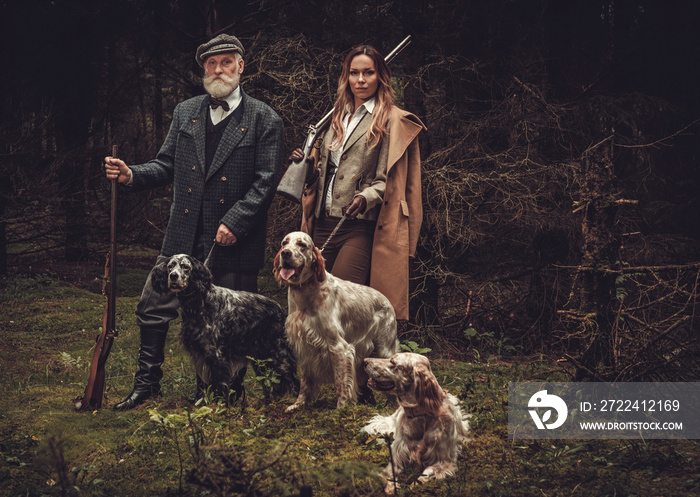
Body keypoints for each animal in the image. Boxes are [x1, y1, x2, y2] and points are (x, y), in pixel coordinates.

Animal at [152, 254, 296, 402]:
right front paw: (199, 402)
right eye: (170, 266)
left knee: (293, 381)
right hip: (261, 359)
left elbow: (219, 385)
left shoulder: (217, 355)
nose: (173, 276)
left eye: (186, 267)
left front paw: (219, 405)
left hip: (279, 355)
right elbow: (201, 384)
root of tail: (281, 310)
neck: (199, 304)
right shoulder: (199, 353)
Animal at [274, 232, 400, 410]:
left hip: (385, 349)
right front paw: (299, 404)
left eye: (302, 245)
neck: (306, 294)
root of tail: (387, 301)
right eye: (284, 243)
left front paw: (341, 409)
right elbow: (305, 382)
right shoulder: (305, 345)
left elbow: (341, 383)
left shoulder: (339, 348)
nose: (285, 253)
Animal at [360, 350, 470, 494]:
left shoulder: (444, 461)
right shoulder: (398, 455)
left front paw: (413, 486)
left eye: (393, 362)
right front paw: (391, 487)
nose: (364, 361)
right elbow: (391, 473)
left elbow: (426, 473)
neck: (421, 415)